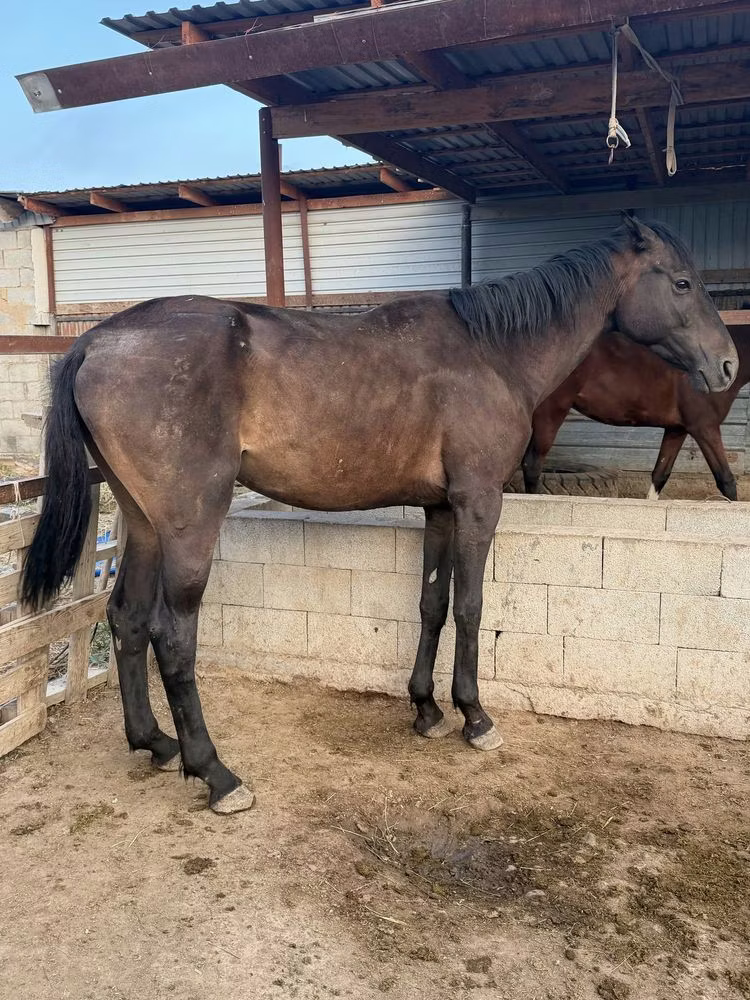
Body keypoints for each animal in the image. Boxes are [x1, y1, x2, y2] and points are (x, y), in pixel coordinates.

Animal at [521, 326, 750, 501]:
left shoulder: (677, 429)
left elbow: (660, 475)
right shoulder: (705, 427)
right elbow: (726, 480)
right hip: (551, 412)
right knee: (532, 466)